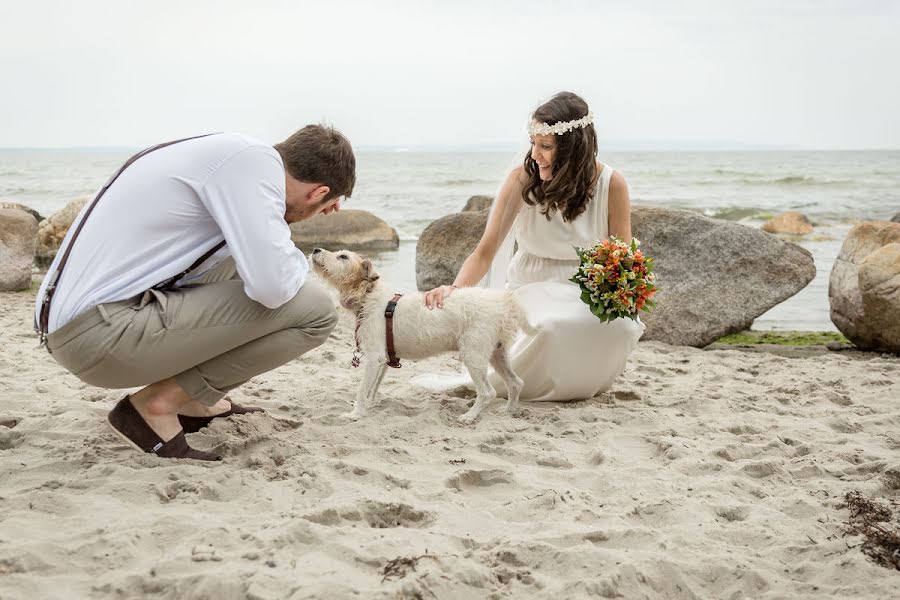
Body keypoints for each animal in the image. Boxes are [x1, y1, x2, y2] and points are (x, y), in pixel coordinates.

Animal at [312, 247, 528, 422]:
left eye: (343, 257)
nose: (315, 249)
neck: (367, 295)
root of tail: (504, 302)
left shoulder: (374, 358)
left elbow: (362, 390)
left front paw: (355, 414)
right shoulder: (384, 360)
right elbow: (371, 390)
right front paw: (367, 409)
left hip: (474, 355)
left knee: (488, 392)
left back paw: (470, 416)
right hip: (497, 353)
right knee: (516, 383)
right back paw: (508, 411)